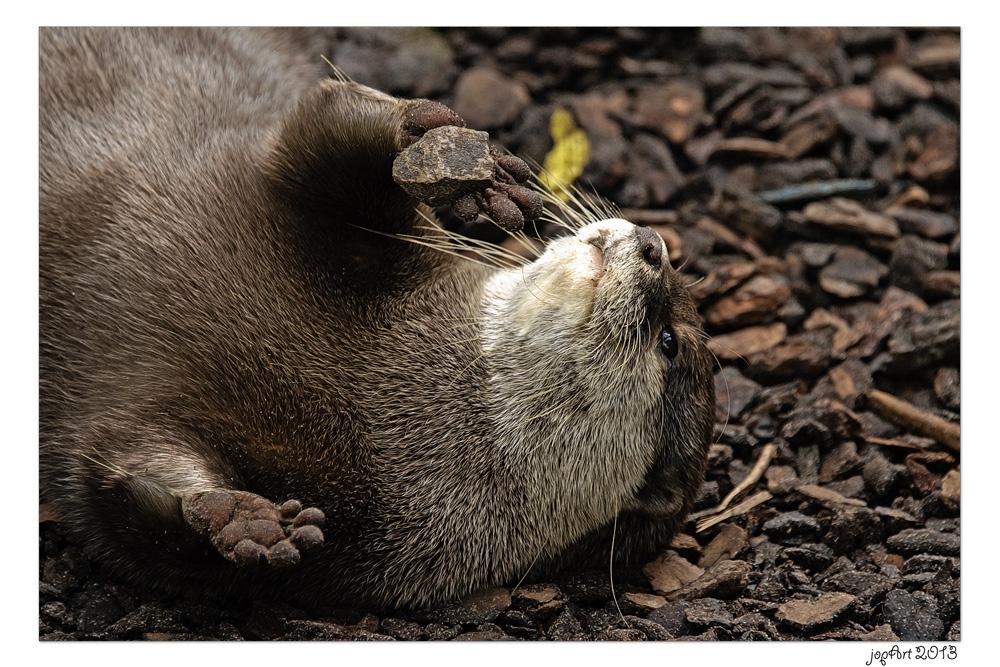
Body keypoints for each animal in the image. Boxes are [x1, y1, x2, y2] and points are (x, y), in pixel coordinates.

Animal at [37, 26, 712, 612]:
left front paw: (235, 517)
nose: (654, 243)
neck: (386, 393)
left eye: (668, 341)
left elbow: (122, 488)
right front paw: (463, 163)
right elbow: (324, 129)